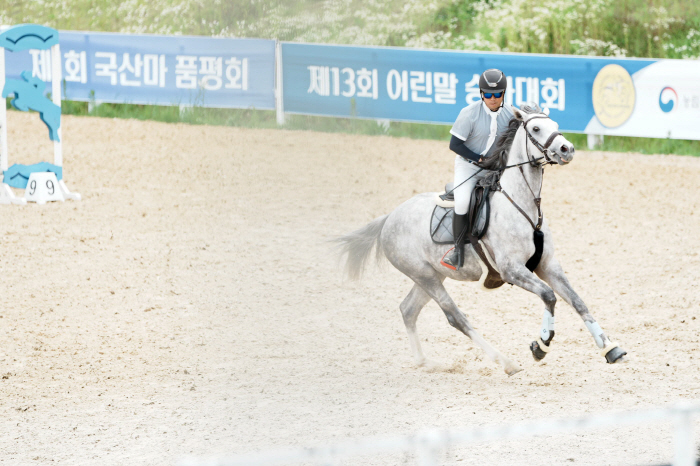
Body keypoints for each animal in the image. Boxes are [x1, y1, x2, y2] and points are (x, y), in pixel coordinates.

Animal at [336, 104, 628, 374]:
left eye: (555, 124)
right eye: (535, 129)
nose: (567, 149)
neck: (521, 203)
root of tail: (389, 218)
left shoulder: (548, 265)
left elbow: (577, 301)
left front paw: (611, 349)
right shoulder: (512, 270)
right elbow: (549, 296)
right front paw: (541, 345)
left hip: (430, 275)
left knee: (408, 309)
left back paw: (425, 362)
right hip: (425, 276)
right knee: (455, 317)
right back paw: (506, 363)